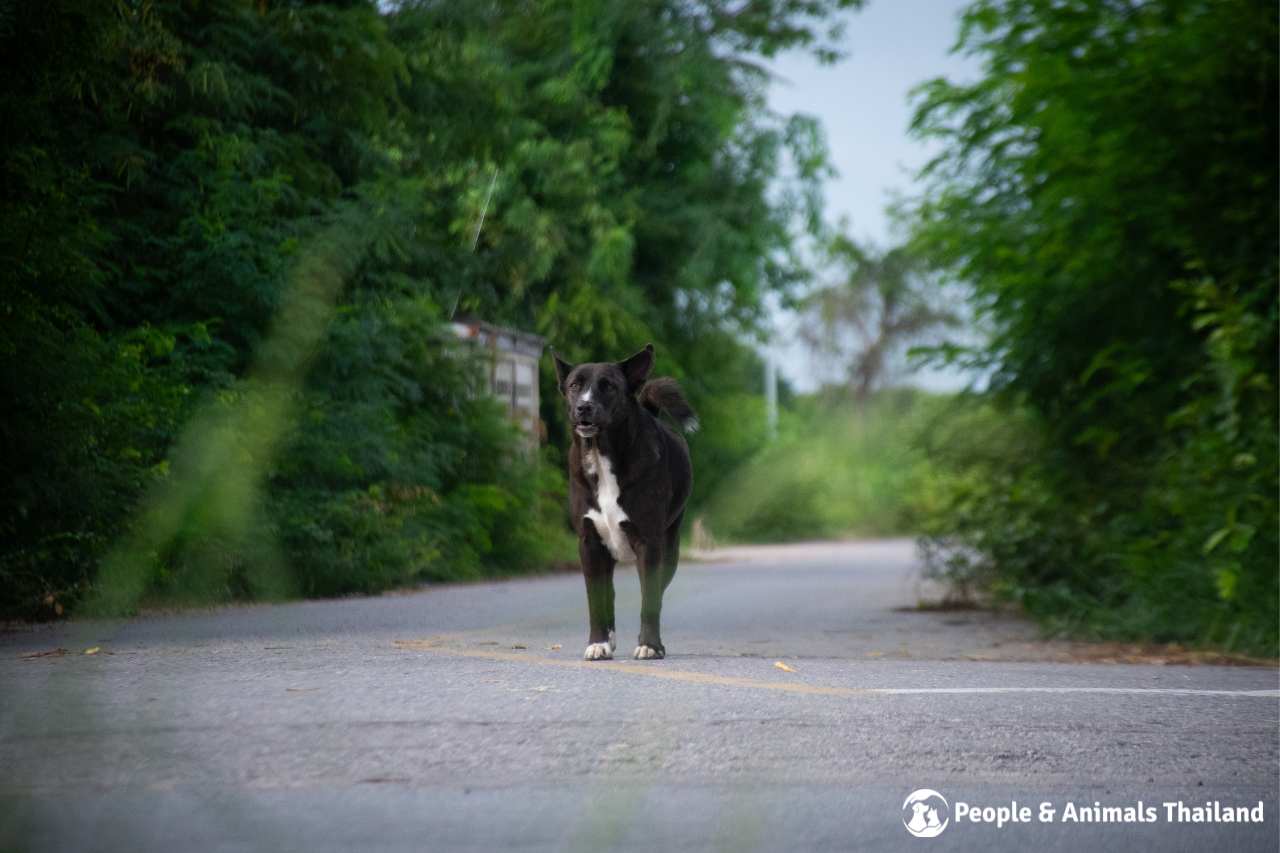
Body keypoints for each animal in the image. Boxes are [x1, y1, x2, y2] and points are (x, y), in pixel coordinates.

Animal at [552, 343, 696, 660]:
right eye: (574, 385)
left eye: (608, 386)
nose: (583, 407)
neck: (602, 454)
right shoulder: (589, 543)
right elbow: (597, 599)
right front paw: (597, 643)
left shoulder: (649, 542)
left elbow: (650, 598)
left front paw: (650, 645)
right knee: (610, 593)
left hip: (670, 548)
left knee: (657, 591)